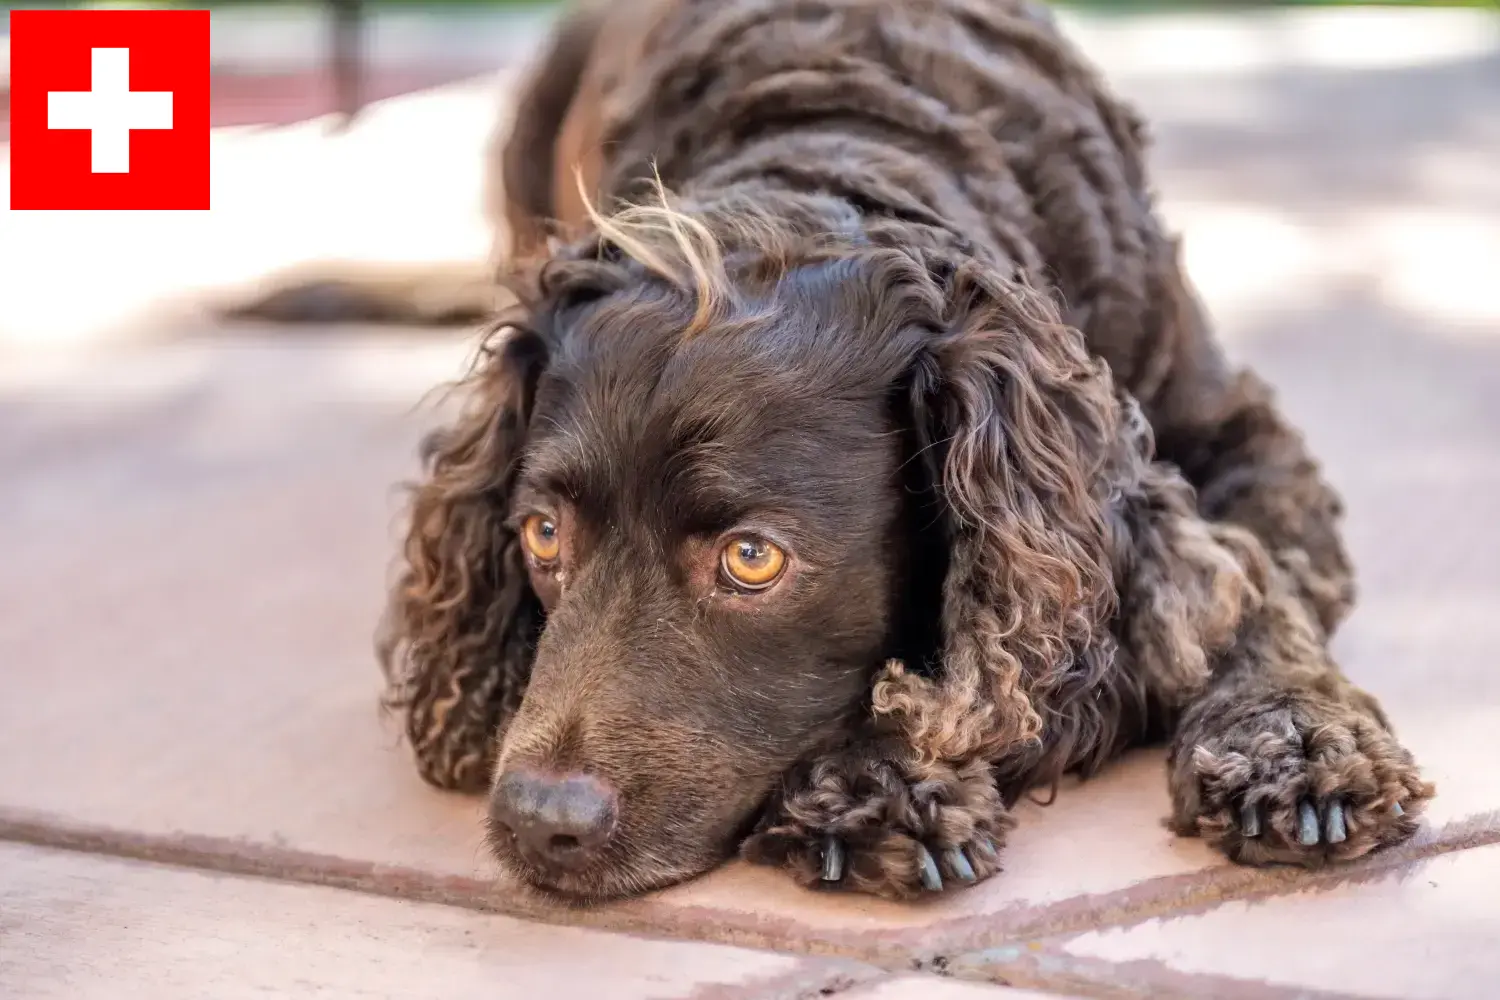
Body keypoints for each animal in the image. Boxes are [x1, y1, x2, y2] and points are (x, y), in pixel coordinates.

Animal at [243, 0, 1428, 905]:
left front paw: (1296, 746)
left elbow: (1255, 591)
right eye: (541, 534)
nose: (541, 822)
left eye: (752, 559)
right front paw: (880, 781)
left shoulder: (1241, 444)